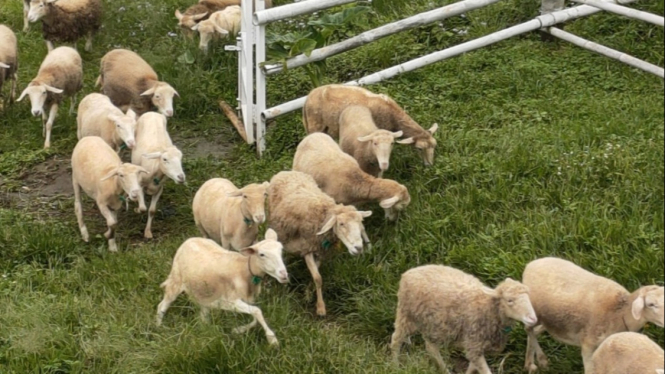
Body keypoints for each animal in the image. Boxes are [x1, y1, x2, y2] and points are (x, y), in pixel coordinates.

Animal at [158, 229, 290, 346]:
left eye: (281, 250)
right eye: (262, 254)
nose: (284, 275)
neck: (245, 270)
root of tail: (189, 240)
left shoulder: (248, 299)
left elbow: (255, 315)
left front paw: (238, 330)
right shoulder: (228, 301)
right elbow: (257, 311)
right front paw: (272, 339)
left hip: (204, 292)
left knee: (203, 314)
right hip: (176, 280)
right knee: (162, 306)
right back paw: (158, 328)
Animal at [270, 171, 374, 318]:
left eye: (360, 223)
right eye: (341, 224)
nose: (358, 248)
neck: (321, 215)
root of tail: (286, 172)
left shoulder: (320, 251)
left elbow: (316, 275)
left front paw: (308, 293)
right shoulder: (307, 248)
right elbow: (318, 278)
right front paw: (320, 308)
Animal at [302, 86, 438, 167]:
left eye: (434, 146)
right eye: (419, 148)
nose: (429, 165)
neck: (393, 115)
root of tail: (307, 99)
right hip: (315, 124)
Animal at [390, 264, 540, 372]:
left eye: (528, 296)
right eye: (509, 300)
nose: (533, 318)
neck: (487, 307)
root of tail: (409, 272)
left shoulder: (475, 345)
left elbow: (472, 366)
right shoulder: (474, 343)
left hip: (434, 324)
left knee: (431, 347)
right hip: (406, 315)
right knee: (396, 339)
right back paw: (395, 365)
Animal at [520, 258, 660, 374]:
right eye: (651, 304)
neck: (620, 312)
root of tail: (530, 265)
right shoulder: (588, 345)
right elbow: (589, 369)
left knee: (535, 331)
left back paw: (529, 363)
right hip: (532, 312)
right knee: (528, 329)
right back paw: (539, 360)